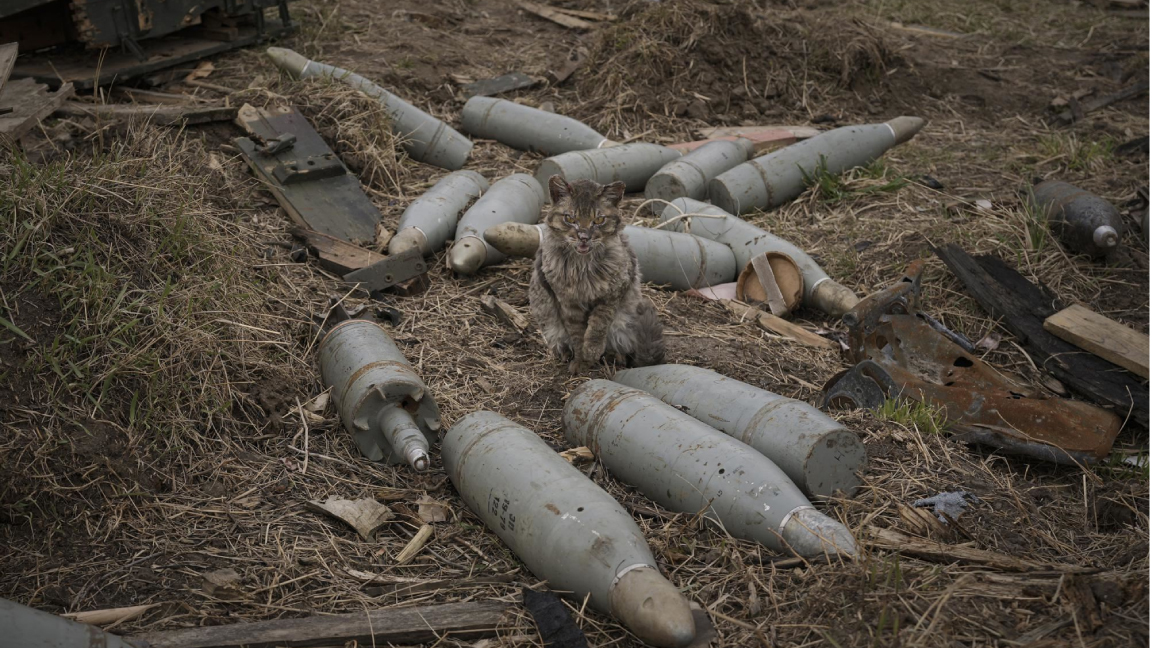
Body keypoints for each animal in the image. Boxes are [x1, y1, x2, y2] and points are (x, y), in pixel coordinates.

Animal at [527, 174, 663, 373]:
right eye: (570, 218)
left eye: (598, 220)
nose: (584, 237)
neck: (583, 267)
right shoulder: (567, 302)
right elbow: (577, 334)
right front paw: (581, 361)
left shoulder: (611, 295)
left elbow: (597, 327)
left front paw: (591, 352)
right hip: (548, 318)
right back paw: (566, 354)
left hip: (626, 320)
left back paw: (614, 357)